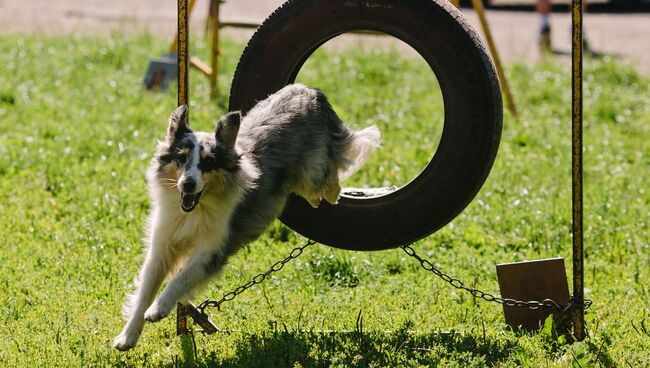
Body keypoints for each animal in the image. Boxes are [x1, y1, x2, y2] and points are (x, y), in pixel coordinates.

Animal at [112, 84, 380, 350]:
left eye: (208, 163)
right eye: (181, 157)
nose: (188, 185)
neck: (196, 209)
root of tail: (309, 90)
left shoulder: (212, 250)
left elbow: (180, 278)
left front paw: (157, 310)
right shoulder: (163, 244)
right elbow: (144, 291)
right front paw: (127, 337)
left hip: (313, 169)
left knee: (330, 175)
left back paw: (330, 194)